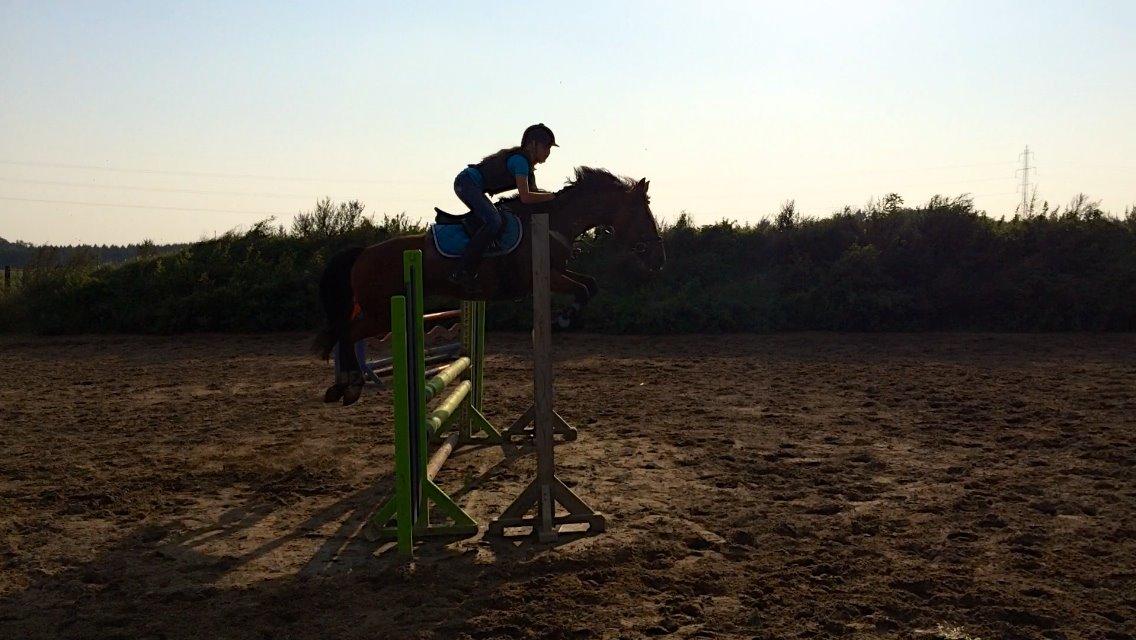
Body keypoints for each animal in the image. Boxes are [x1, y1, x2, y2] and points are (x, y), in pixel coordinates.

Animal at [313, 166, 666, 406]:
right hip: (381, 314)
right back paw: (349, 386)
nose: (658, 258)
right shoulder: (544, 277)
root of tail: (363, 253)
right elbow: (583, 289)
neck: (552, 222)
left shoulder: (558, 272)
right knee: (347, 334)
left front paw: (565, 317)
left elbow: (589, 285)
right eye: (643, 212)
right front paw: (563, 319)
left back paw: (342, 387)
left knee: (343, 333)